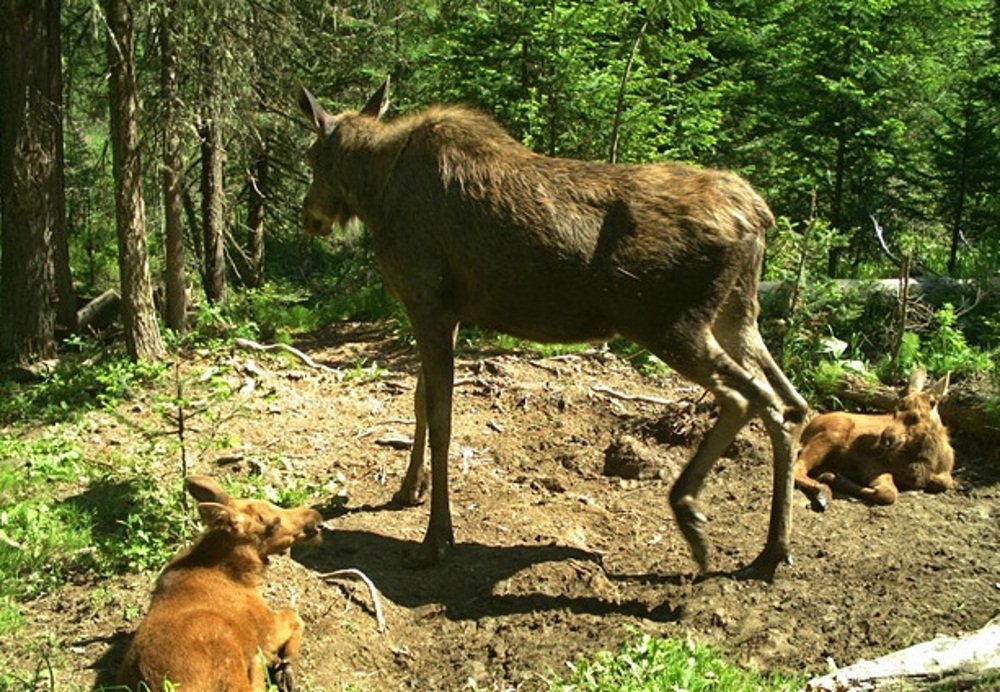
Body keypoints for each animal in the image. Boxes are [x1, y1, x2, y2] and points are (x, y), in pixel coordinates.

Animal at [117, 476, 322, 692]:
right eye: (273, 524)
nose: (315, 517)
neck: (240, 574)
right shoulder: (267, 626)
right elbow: (295, 616)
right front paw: (286, 665)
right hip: (227, 662)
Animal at [298, 78, 812, 580]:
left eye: (312, 157)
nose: (310, 216)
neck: (375, 192)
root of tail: (758, 216)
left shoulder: (428, 305)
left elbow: (441, 420)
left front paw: (434, 541)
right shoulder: (445, 312)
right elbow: (421, 403)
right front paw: (408, 490)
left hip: (668, 323)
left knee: (749, 397)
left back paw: (690, 513)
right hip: (736, 316)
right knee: (789, 404)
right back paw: (774, 549)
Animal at [796, 370, 952, 510]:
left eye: (915, 417)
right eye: (894, 411)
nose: (885, 439)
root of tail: (806, 430)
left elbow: (944, 482)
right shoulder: (871, 464)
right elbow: (888, 494)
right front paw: (833, 478)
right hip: (835, 431)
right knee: (798, 468)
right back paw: (823, 492)